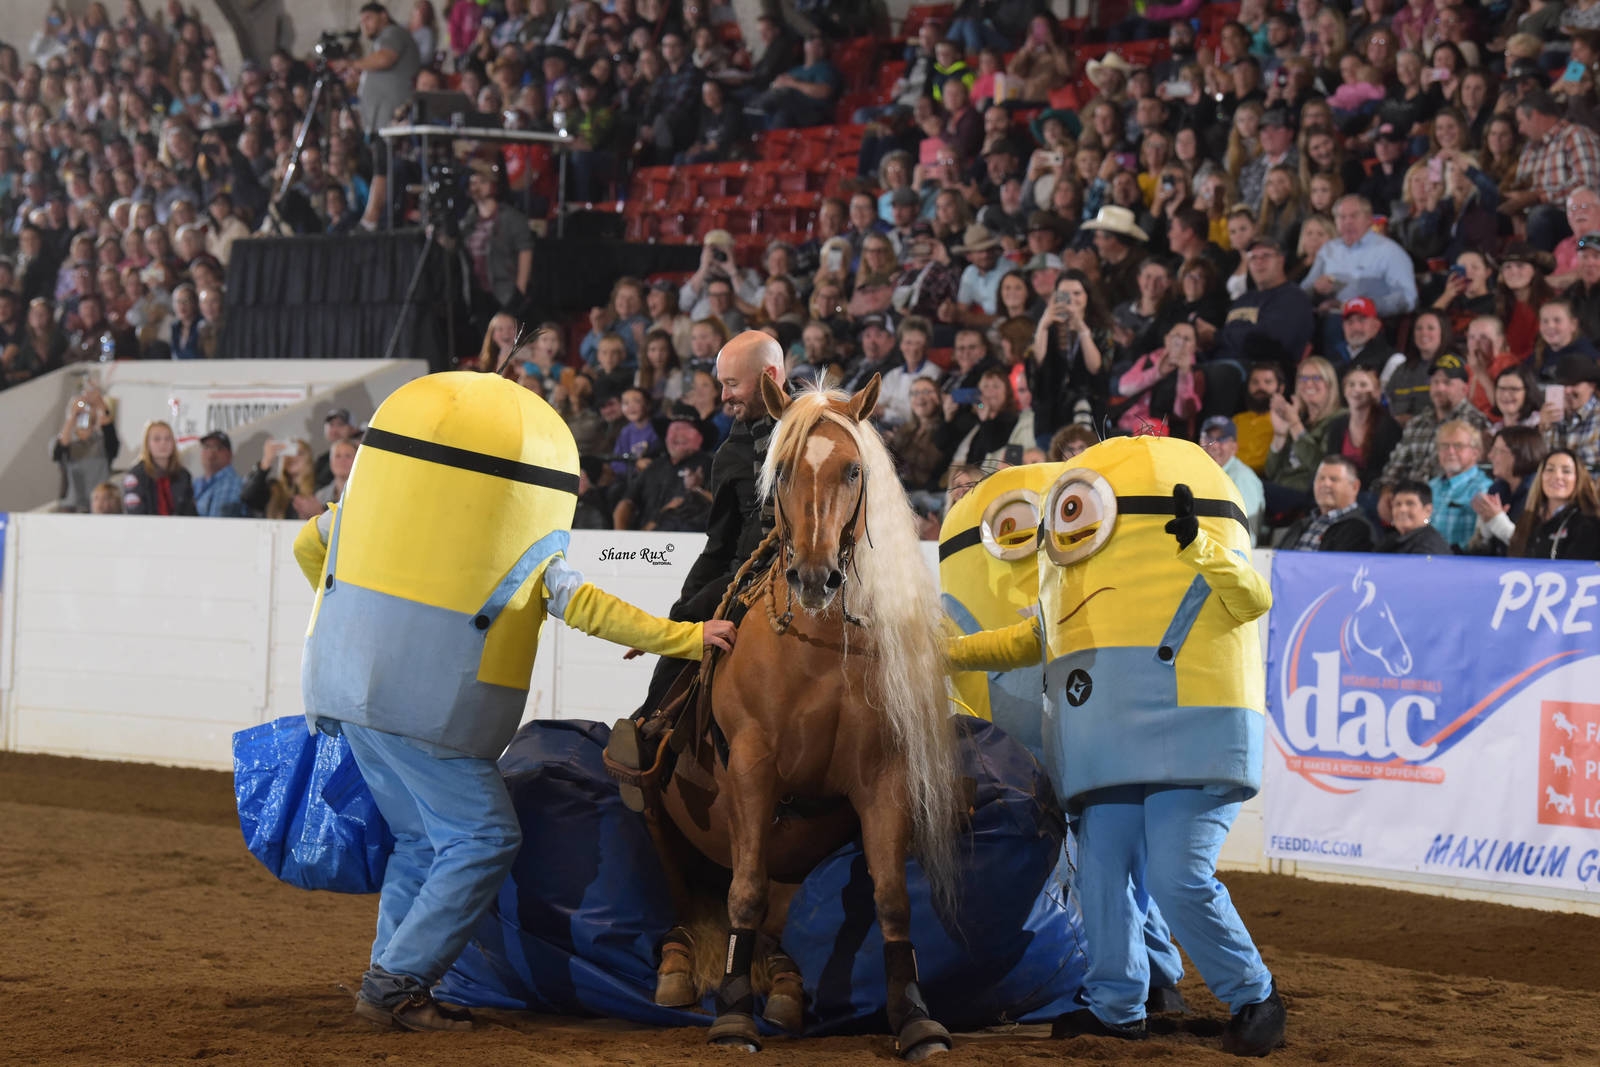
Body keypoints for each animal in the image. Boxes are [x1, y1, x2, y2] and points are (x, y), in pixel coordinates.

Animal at [651, 375, 962, 1060]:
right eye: (785, 469)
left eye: (853, 469)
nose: (815, 578)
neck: (817, 654)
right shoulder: (751, 767)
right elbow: (743, 890)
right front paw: (733, 1014)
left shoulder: (884, 781)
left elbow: (892, 899)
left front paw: (914, 1016)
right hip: (656, 814)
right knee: (685, 898)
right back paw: (679, 968)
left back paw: (785, 985)